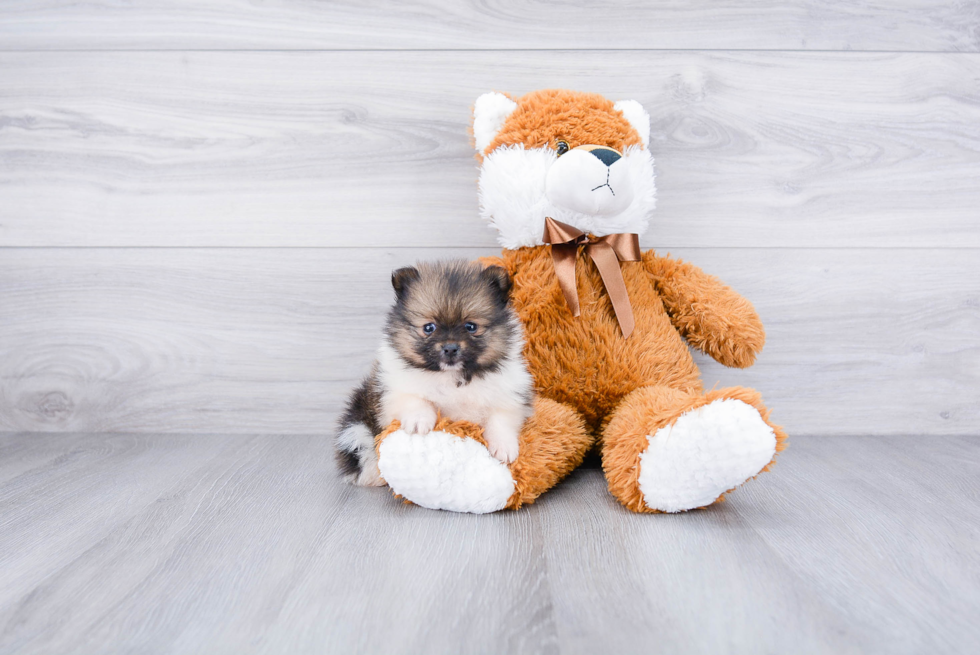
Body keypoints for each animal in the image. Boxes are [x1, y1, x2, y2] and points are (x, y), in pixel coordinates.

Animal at [336, 262, 536, 486]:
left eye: (471, 326)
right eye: (429, 327)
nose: (450, 348)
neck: (451, 376)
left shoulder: (509, 395)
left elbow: (501, 420)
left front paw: (503, 446)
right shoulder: (392, 389)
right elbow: (414, 399)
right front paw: (419, 421)